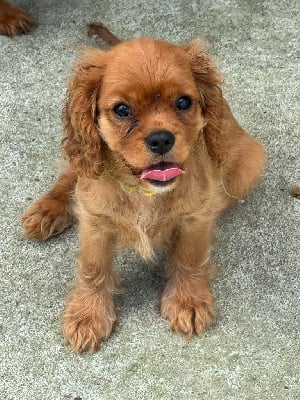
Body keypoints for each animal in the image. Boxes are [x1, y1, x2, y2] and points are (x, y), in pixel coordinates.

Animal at [21, 23, 264, 352]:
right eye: (122, 109)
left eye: (183, 102)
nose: (161, 139)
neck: (143, 191)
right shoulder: (94, 220)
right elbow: (93, 268)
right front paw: (87, 314)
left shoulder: (196, 216)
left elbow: (189, 257)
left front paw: (188, 300)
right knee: (72, 174)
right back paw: (48, 210)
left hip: (250, 164)